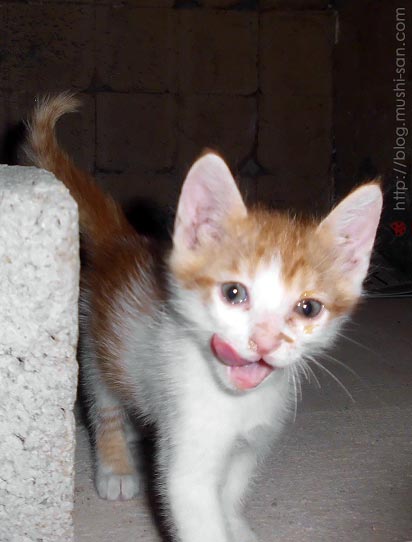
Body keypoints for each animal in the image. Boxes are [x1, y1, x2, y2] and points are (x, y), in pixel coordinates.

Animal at [27, 94, 384, 542]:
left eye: (308, 308)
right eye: (234, 293)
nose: (264, 341)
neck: (236, 403)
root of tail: (122, 242)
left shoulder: (252, 441)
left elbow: (231, 490)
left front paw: (238, 526)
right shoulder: (188, 453)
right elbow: (196, 508)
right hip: (97, 344)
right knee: (104, 403)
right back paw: (115, 466)